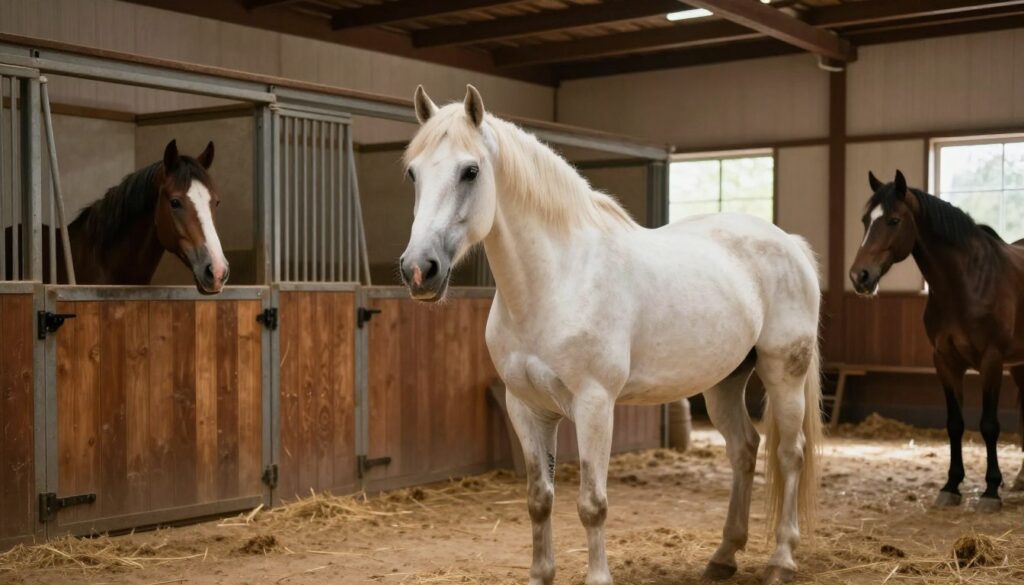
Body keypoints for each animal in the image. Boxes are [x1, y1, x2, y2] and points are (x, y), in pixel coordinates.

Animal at [398, 85, 823, 585]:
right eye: (413, 173)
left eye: (470, 171)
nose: (419, 270)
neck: (555, 279)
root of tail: (788, 242)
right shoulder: (526, 407)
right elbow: (539, 500)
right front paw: (540, 574)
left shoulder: (594, 404)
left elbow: (592, 504)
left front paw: (598, 577)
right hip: (724, 382)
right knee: (744, 450)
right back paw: (723, 557)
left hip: (783, 374)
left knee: (789, 455)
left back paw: (781, 560)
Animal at [849, 169, 1024, 513]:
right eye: (865, 220)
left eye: (893, 220)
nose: (859, 276)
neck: (966, 282)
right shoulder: (944, 360)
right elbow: (954, 423)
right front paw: (951, 486)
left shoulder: (992, 360)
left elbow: (989, 425)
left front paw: (990, 490)